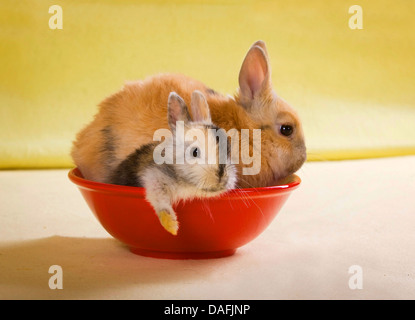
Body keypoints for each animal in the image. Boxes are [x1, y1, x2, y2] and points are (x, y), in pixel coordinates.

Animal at [109, 90, 237, 235]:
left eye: (228, 149)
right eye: (195, 152)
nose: (221, 175)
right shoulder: (154, 178)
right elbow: (160, 201)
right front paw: (172, 227)